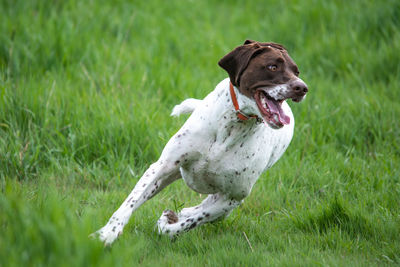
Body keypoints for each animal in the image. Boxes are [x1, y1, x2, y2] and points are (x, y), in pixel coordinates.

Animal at [93, 38, 310, 246]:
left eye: (296, 71)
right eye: (272, 66)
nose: (302, 88)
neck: (231, 128)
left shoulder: (233, 197)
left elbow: (189, 222)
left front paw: (168, 223)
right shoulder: (162, 167)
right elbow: (130, 202)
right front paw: (107, 233)